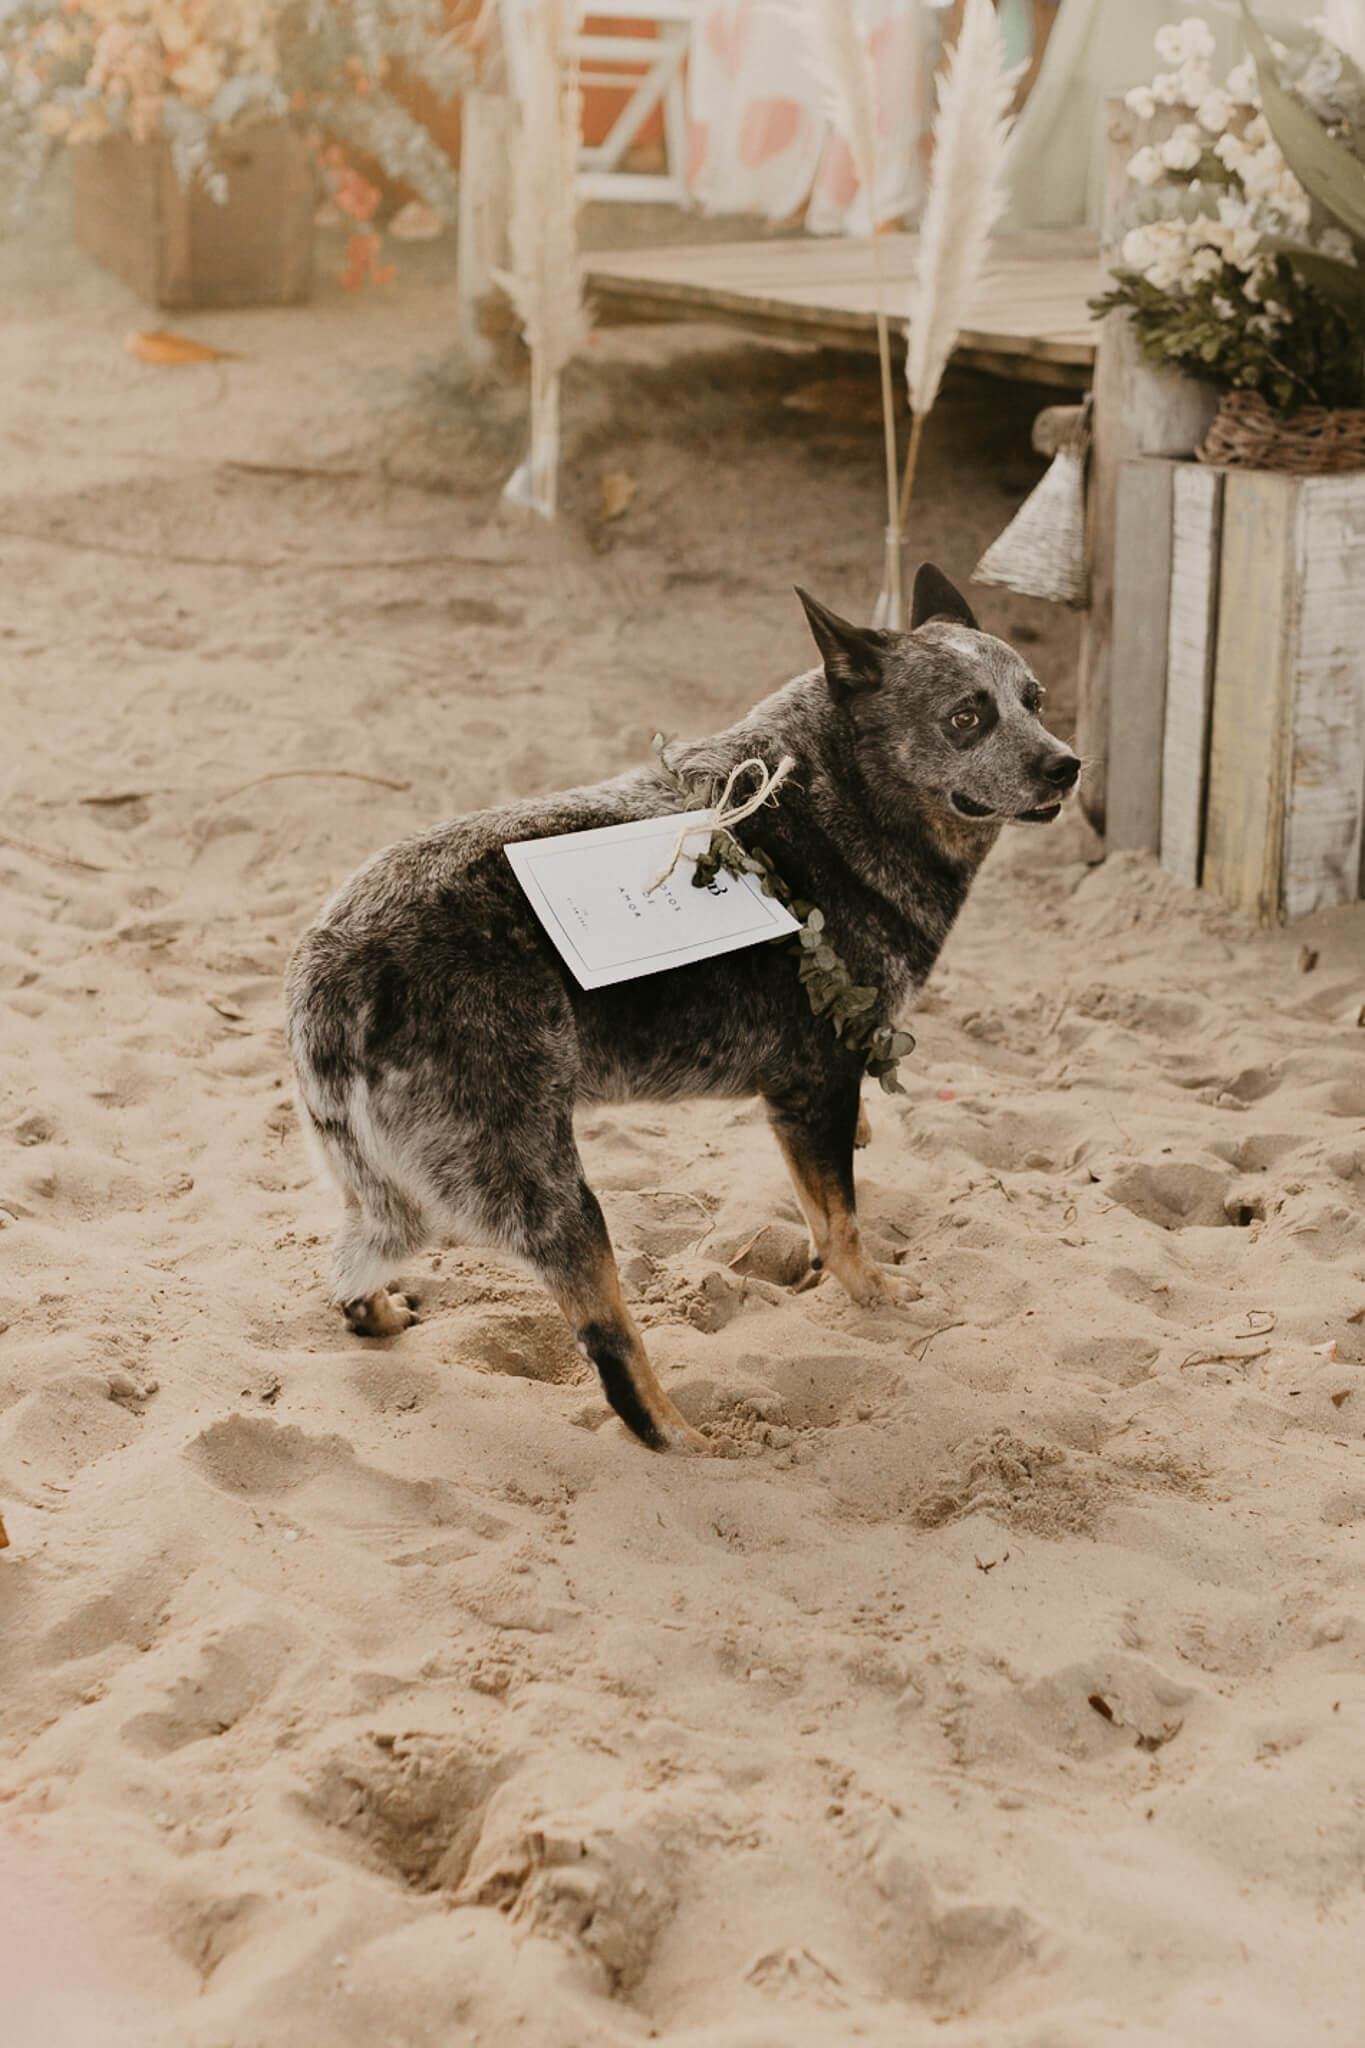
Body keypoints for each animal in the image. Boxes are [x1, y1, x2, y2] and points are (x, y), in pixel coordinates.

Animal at [286, 564, 1079, 1453]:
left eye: (1035, 699)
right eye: (965, 717)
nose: (1067, 766)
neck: (831, 793)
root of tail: (334, 972)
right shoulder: (814, 1085)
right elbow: (839, 1222)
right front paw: (873, 1292)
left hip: (376, 1188)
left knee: (351, 1272)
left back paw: (381, 1317)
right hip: (549, 1192)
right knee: (609, 1338)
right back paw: (681, 1437)